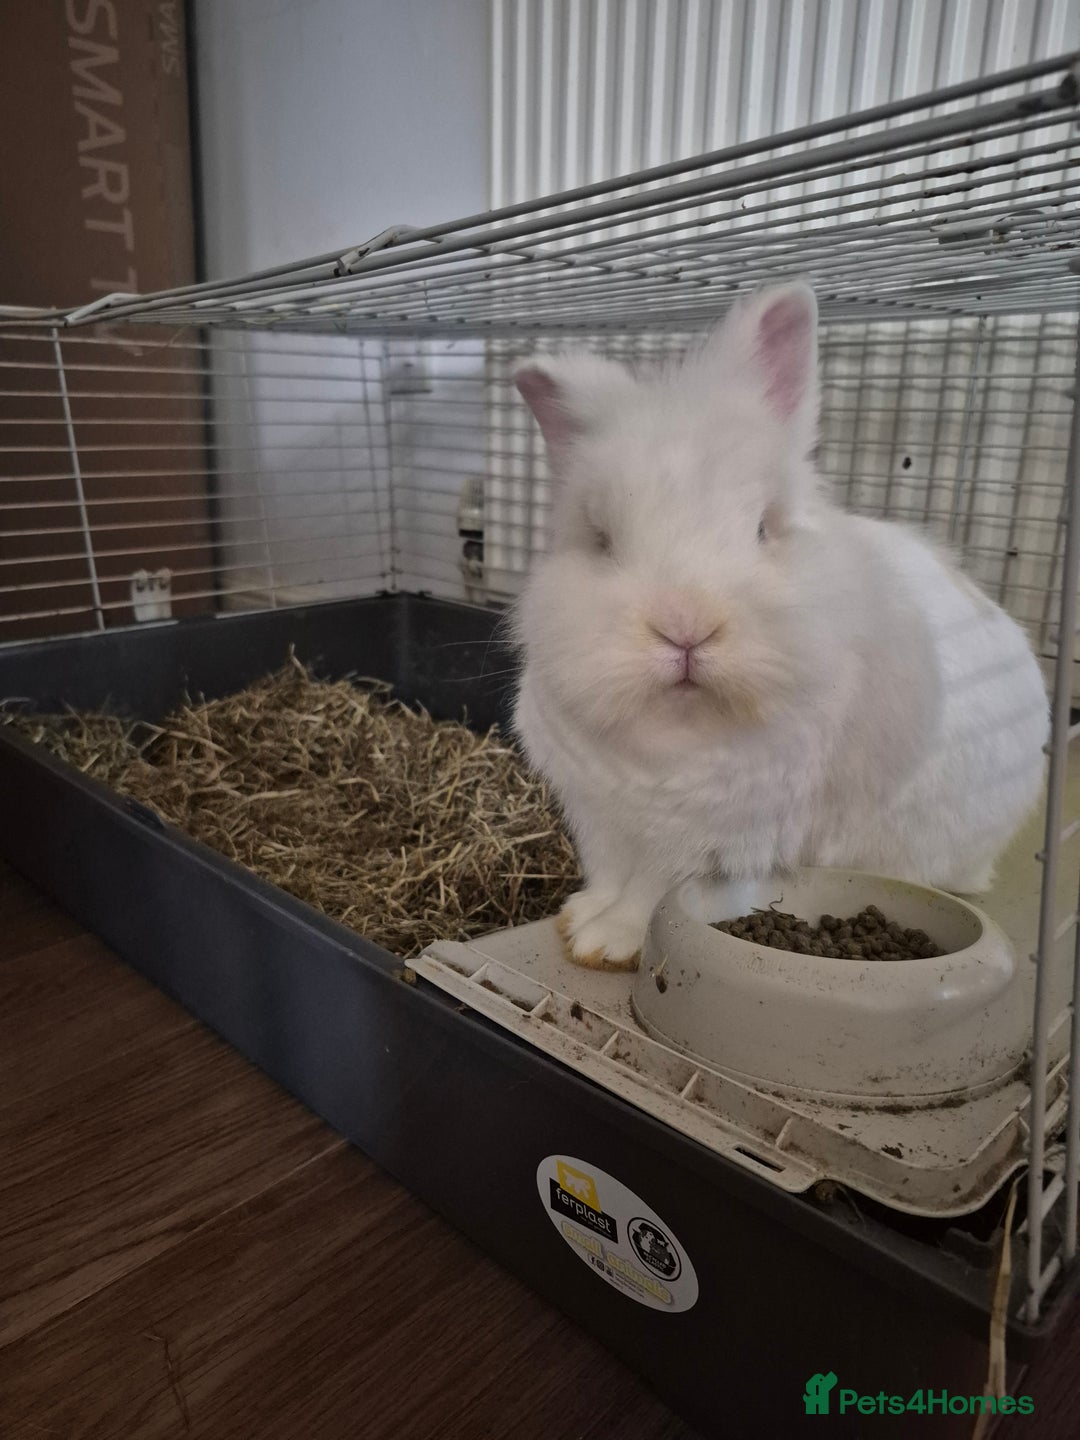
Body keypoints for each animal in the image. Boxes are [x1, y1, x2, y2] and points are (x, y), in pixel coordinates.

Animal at [510, 281, 1049, 970]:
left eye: (764, 527)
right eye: (601, 541)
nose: (685, 625)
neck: (677, 737)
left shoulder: (710, 840)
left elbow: (651, 893)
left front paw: (610, 944)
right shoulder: (601, 818)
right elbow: (610, 875)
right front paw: (579, 922)